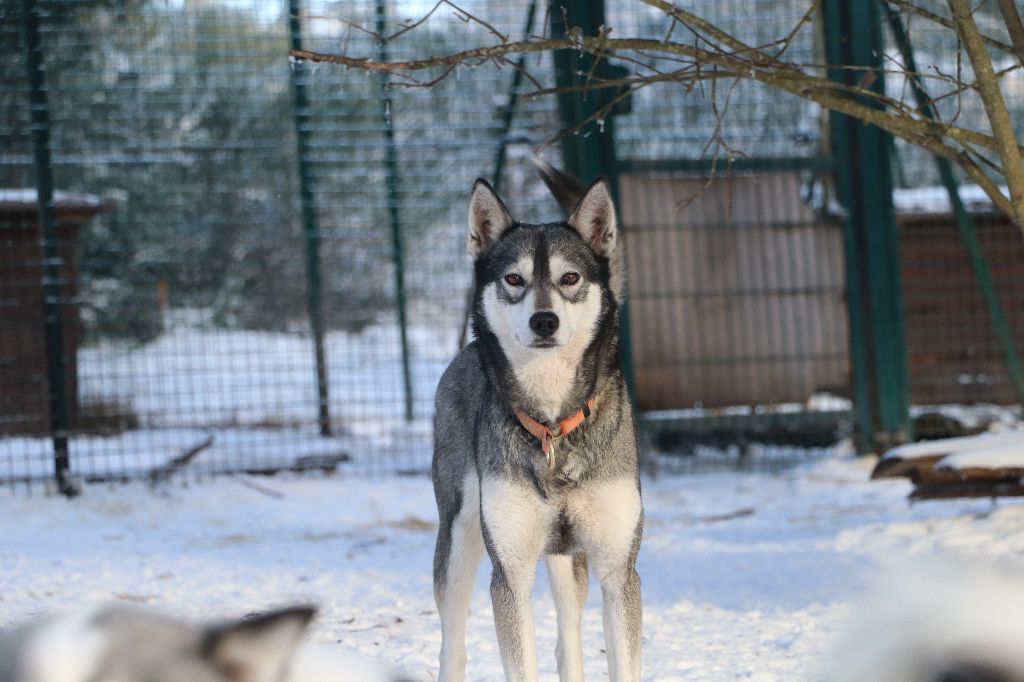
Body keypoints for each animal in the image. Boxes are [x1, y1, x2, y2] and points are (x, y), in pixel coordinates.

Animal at [430, 164, 638, 679]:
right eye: (513, 278)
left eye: (570, 277)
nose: (544, 321)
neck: (553, 422)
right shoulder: (509, 573)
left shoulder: (618, 570)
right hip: (459, 535)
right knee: (453, 643)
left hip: (568, 561)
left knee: (569, 639)